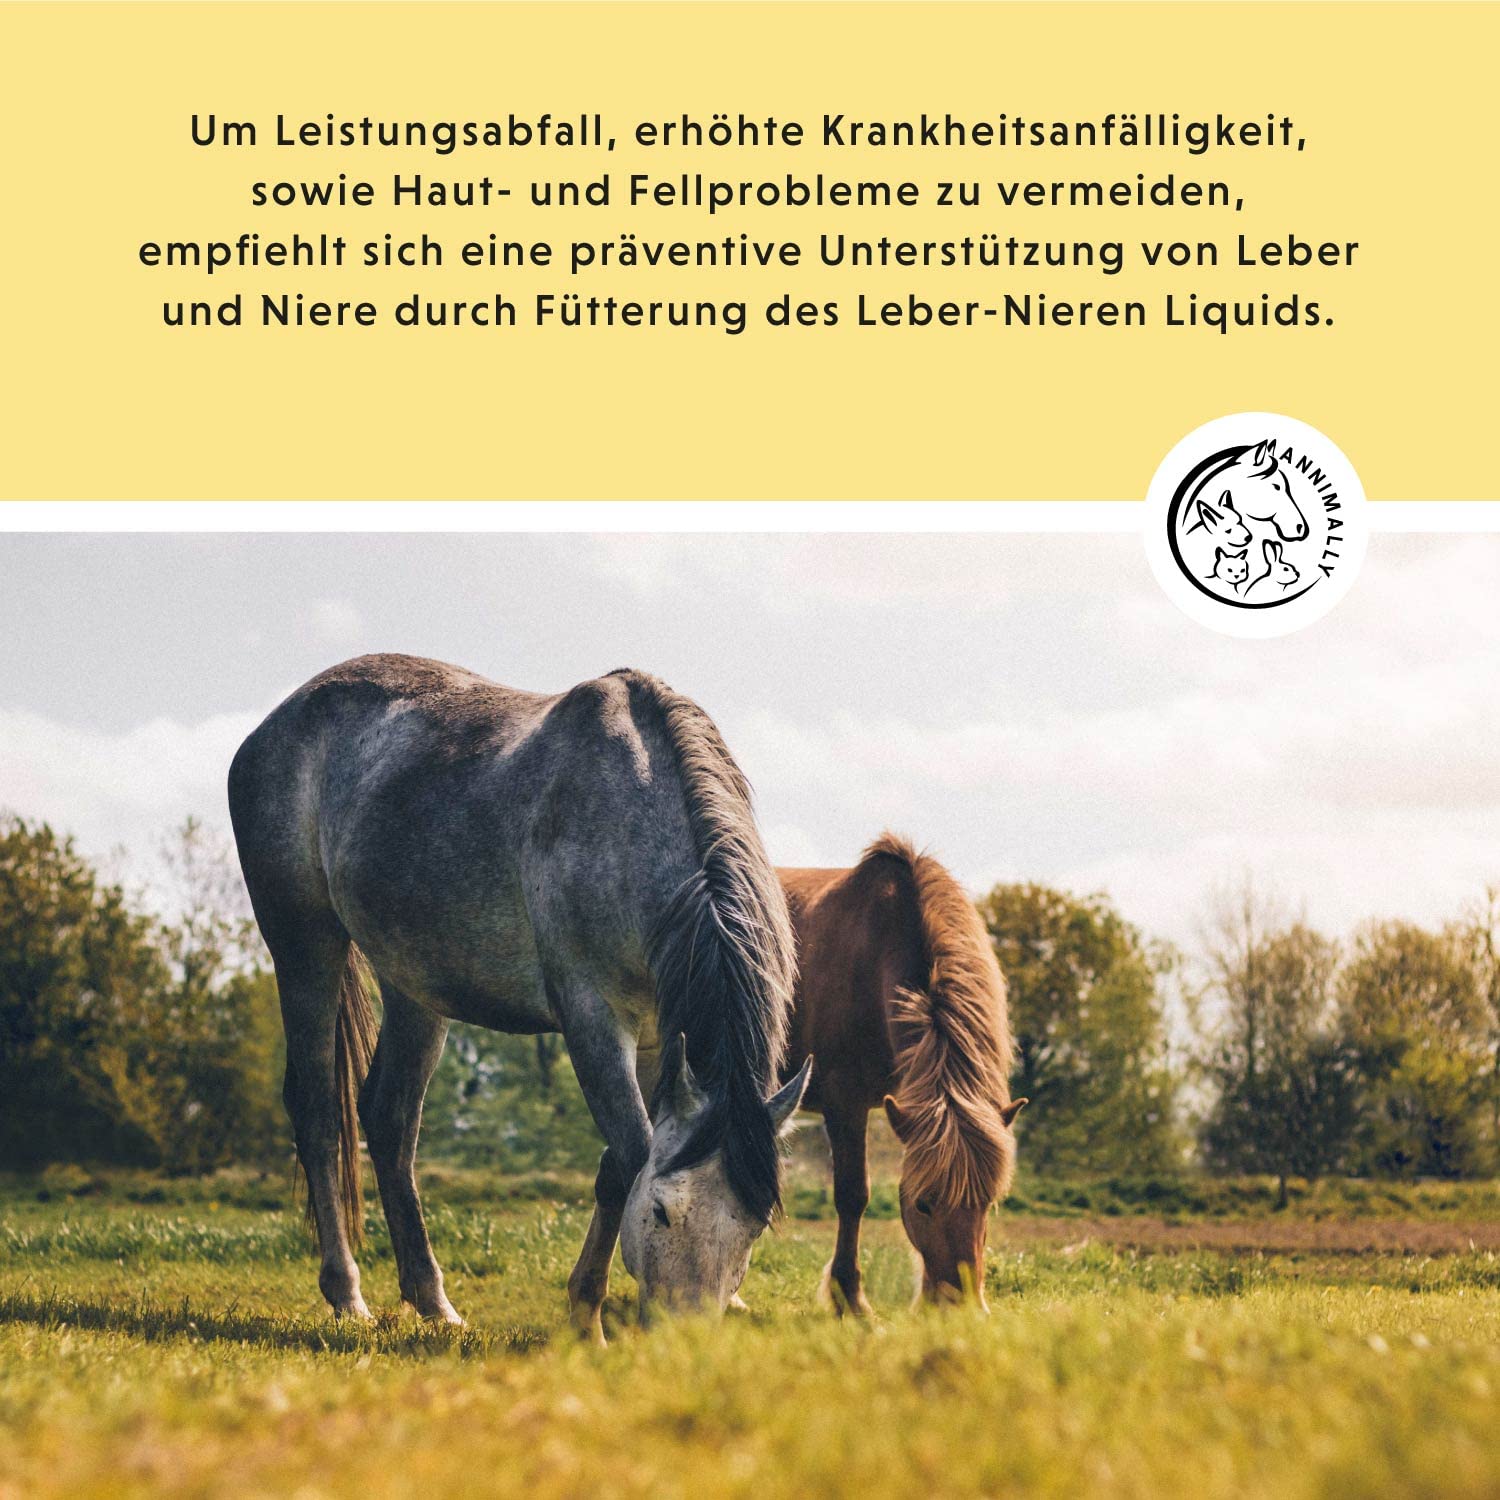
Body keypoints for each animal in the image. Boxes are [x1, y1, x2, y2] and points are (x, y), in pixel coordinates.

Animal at [228, 654, 811, 1337]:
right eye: (664, 1212)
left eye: (754, 1226)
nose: (683, 1339)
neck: (631, 816)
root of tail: (275, 724)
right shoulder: (592, 1019)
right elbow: (631, 1155)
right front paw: (588, 1319)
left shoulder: (656, 1039)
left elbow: (617, 1166)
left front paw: (583, 1309)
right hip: (304, 946)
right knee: (320, 1112)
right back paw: (347, 1294)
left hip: (413, 984)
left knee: (389, 1119)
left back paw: (433, 1302)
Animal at [780, 835, 1025, 1312]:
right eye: (923, 1204)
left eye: (987, 1203)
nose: (961, 1307)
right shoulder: (845, 1103)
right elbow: (853, 1195)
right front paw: (850, 1299)